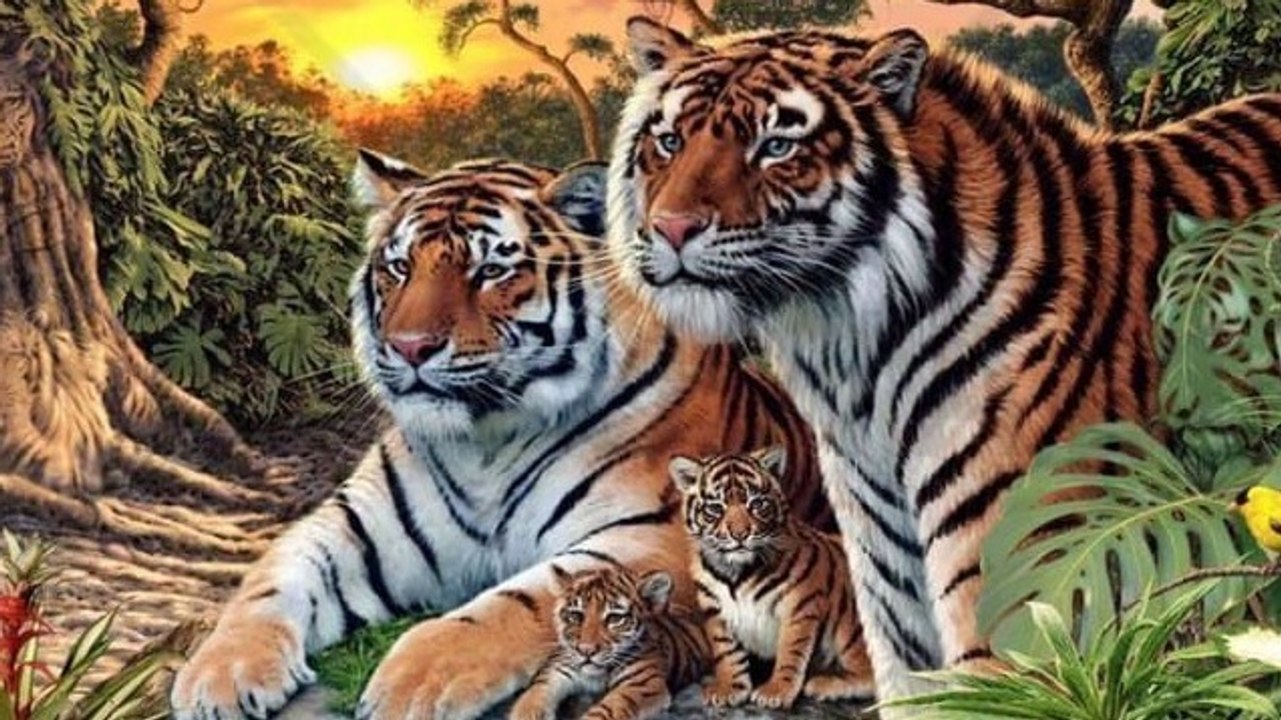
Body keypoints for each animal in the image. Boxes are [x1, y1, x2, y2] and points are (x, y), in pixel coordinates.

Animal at [508, 566, 709, 720]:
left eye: (614, 618)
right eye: (575, 615)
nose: (586, 651)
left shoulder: (640, 684)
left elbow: (605, 711)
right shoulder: (558, 668)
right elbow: (534, 695)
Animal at [668, 447, 873, 710]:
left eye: (757, 503)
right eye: (716, 508)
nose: (740, 534)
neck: (735, 573)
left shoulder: (801, 603)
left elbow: (791, 650)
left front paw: (777, 690)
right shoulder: (714, 609)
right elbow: (726, 651)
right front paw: (729, 687)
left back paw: (823, 684)